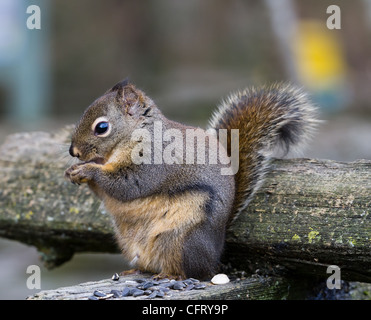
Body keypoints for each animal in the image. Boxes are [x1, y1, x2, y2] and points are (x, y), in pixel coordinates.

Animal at [65, 80, 318, 280]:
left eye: (102, 127)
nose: (73, 151)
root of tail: (215, 254)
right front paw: (73, 170)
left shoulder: (153, 160)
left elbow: (128, 185)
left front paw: (89, 170)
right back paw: (137, 270)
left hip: (180, 240)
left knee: (192, 271)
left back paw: (171, 275)